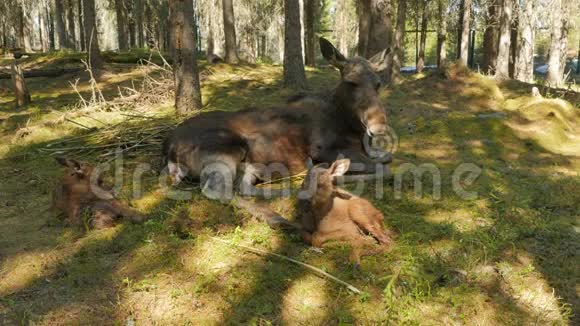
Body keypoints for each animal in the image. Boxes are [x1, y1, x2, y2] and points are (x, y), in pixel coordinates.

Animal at [161, 37, 392, 202]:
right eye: (351, 82)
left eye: (378, 83)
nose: (378, 127)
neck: (350, 126)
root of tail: (168, 148)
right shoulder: (324, 149)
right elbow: (384, 168)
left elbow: (385, 157)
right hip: (226, 149)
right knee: (220, 191)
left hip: (247, 165)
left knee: (242, 186)